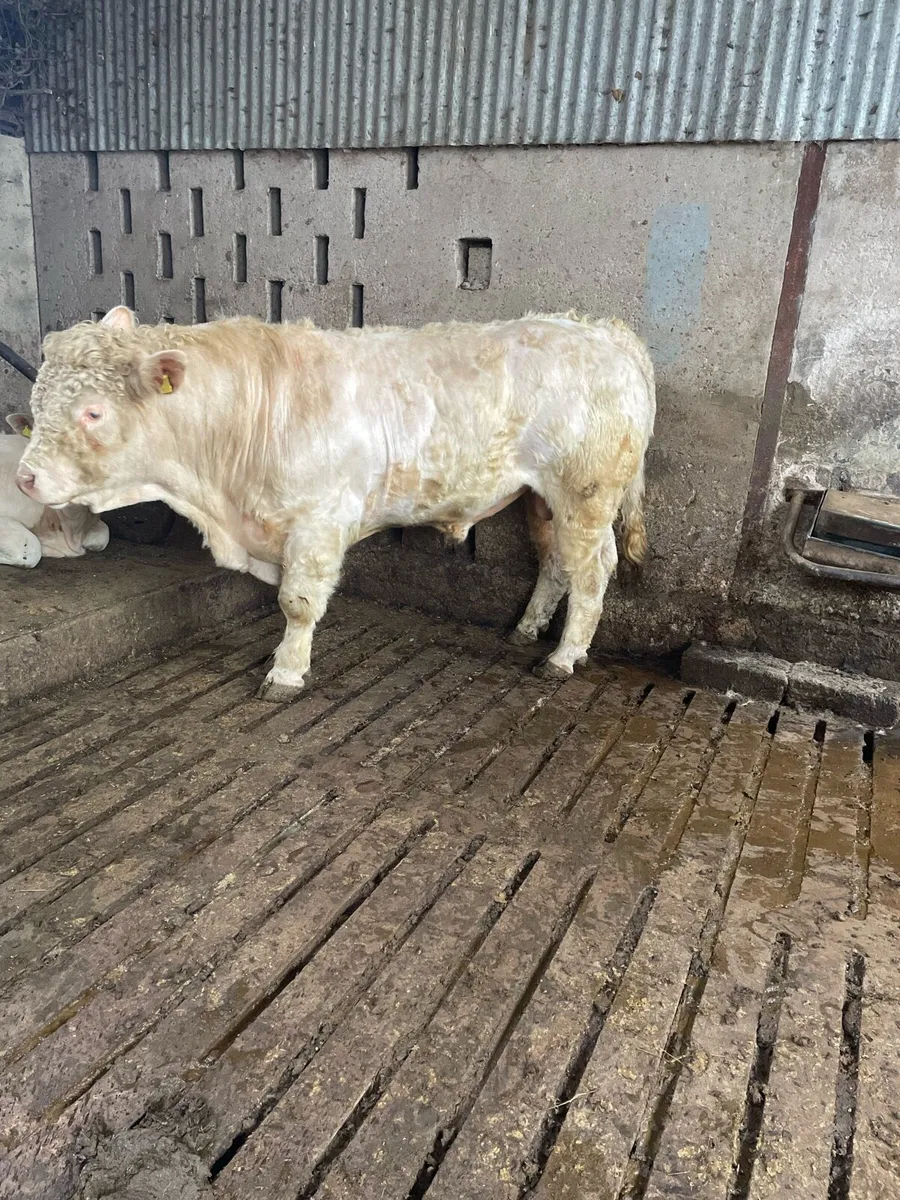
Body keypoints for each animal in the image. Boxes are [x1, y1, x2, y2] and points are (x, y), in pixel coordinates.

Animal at [16, 307, 655, 701]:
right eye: (36, 401)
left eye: (93, 412)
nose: (24, 477)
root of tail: (603, 331)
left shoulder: (318, 523)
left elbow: (297, 603)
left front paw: (285, 672)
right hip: (542, 499)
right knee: (556, 564)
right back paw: (527, 629)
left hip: (585, 494)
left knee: (592, 571)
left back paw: (564, 656)